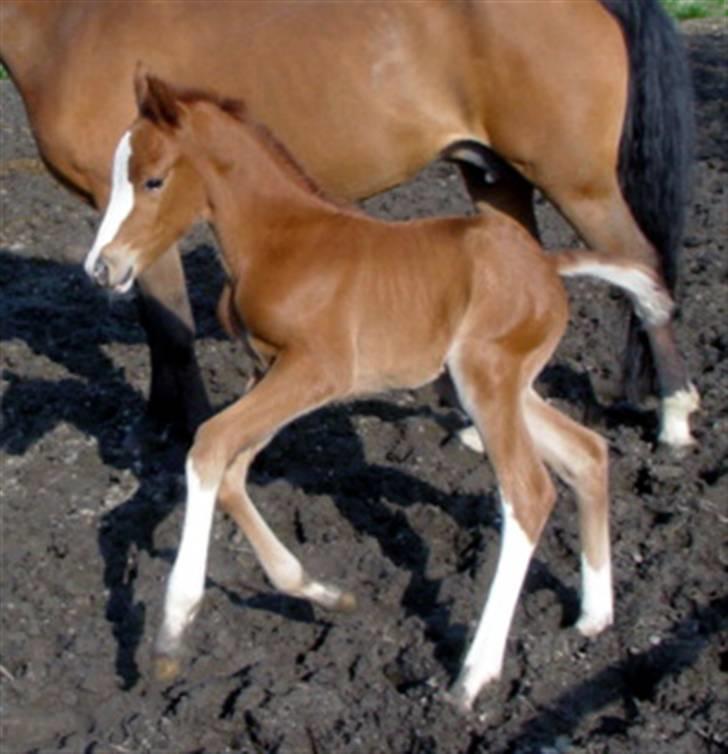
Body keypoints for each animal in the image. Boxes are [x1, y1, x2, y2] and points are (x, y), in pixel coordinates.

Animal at [0, 0, 696, 446]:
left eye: (149, 178)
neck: (70, 23)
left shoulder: (145, 215)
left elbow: (171, 327)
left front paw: (185, 428)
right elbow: (156, 324)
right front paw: (156, 421)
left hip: (577, 183)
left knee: (642, 267)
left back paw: (675, 416)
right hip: (496, 177)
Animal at [88, 67, 672, 708]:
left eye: (153, 179)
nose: (100, 268)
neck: (280, 239)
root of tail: (547, 265)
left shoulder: (317, 369)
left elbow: (211, 444)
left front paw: (171, 632)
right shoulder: (267, 369)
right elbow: (232, 469)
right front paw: (320, 591)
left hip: (488, 379)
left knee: (529, 492)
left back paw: (475, 674)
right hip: (495, 386)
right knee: (587, 453)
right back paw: (594, 615)